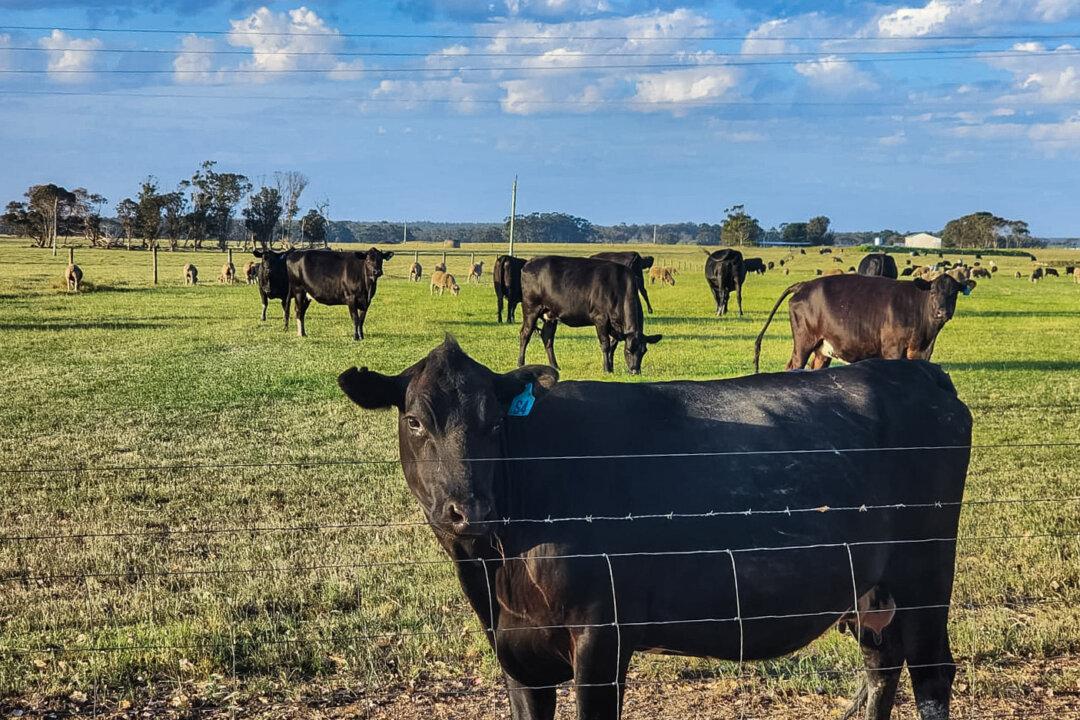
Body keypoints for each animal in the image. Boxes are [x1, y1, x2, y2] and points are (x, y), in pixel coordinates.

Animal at [338, 337, 971, 720]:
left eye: (495, 423)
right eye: (415, 421)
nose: (469, 508)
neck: (498, 571)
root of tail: (918, 371)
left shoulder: (602, 636)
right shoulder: (518, 655)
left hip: (926, 573)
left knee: (931, 674)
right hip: (873, 589)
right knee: (882, 665)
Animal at [518, 256, 661, 374]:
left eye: (644, 351)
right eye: (628, 350)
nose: (635, 371)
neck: (619, 286)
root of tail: (529, 263)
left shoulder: (617, 327)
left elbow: (613, 346)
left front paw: (611, 366)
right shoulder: (600, 319)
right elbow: (605, 344)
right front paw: (607, 369)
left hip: (550, 315)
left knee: (547, 338)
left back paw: (555, 366)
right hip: (531, 309)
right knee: (525, 334)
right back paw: (521, 363)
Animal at [753, 274, 976, 373]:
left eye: (954, 293)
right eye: (933, 291)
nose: (942, 312)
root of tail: (805, 284)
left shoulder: (922, 353)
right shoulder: (892, 349)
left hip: (822, 348)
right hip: (803, 341)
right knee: (794, 365)